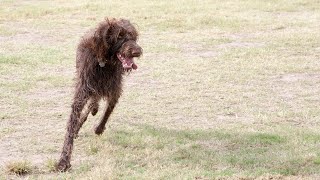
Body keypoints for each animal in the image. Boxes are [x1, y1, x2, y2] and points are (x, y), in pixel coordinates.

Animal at [56, 18, 142, 172]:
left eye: (133, 37)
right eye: (119, 36)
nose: (137, 51)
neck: (104, 63)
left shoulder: (114, 89)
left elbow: (107, 111)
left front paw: (99, 128)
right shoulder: (82, 91)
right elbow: (71, 126)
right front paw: (64, 161)